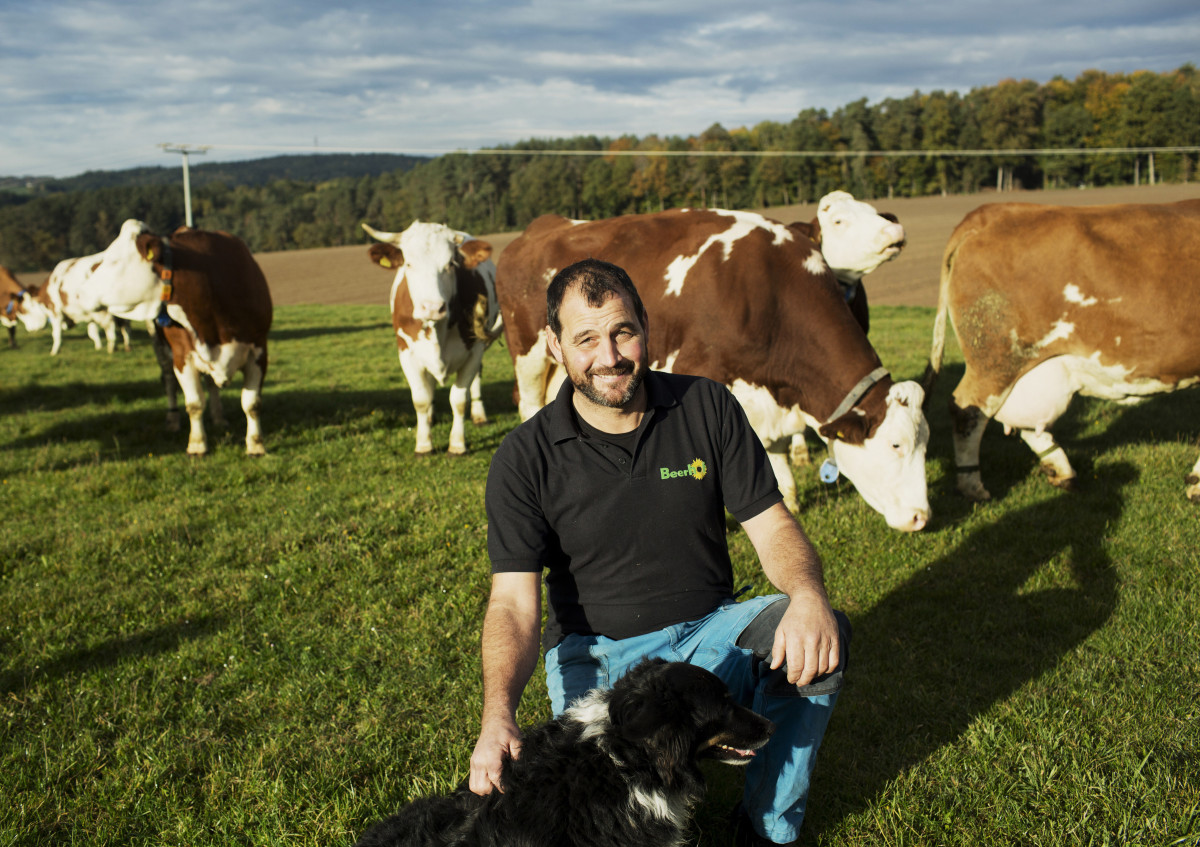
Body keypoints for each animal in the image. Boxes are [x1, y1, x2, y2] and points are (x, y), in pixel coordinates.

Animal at [82, 218, 274, 455]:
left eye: (114, 261)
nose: (80, 293)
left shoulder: (259, 349)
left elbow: (251, 403)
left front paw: (256, 445)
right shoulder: (183, 356)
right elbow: (194, 404)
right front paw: (197, 445)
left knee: (211, 384)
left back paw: (218, 417)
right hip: (160, 347)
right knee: (168, 381)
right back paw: (172, 419)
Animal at [360, 220, 501, 451]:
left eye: (451, 264)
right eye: (408, 264)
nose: (433, 308)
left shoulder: (474, 351)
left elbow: (459, 399)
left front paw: (457, 445)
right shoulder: (406, 352)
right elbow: (421, 399)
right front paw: (424, 444)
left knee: (476, 380)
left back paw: (479, 416)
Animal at [492, 207, 931, 530]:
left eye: (925, 443)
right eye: (896, 445)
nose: (920, 517)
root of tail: (538, 228)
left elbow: (773, 448)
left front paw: (788, 496)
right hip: (529, 356)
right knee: (529, 406)